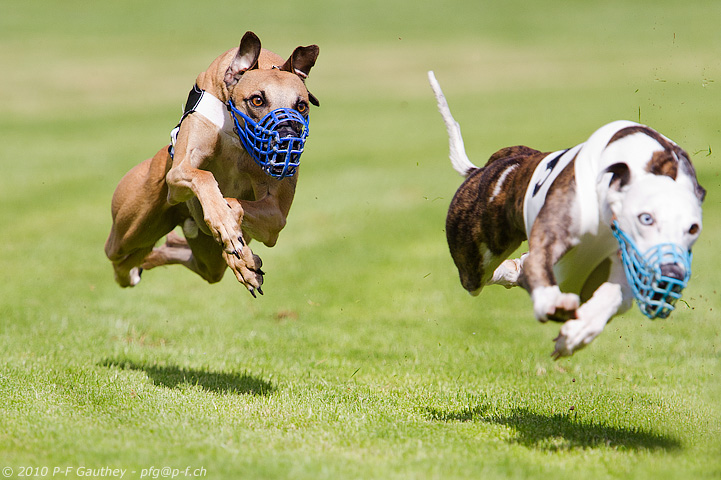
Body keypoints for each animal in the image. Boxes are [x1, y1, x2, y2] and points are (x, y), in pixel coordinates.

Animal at [105, 31, 320, 294]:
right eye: (257, 100)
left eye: (301, 105)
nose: (287, 141)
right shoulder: (178, 173)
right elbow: (204, 176)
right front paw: (225, 223)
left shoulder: (275, 219)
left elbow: (236, 203)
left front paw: (234, 241)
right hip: (130, 230)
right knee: (118, 256)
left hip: (203, 255)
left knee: (176, 250)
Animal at [428, 70, 704, 356]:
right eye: (646, 218)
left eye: (693, 228)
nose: (671, 274)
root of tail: (485, 168)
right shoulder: (552, 236)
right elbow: (542, 267)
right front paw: (552, 304)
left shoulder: (627, 263)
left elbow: (614, 294)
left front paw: (579, 331)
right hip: (476, 260)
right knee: (483, 275)